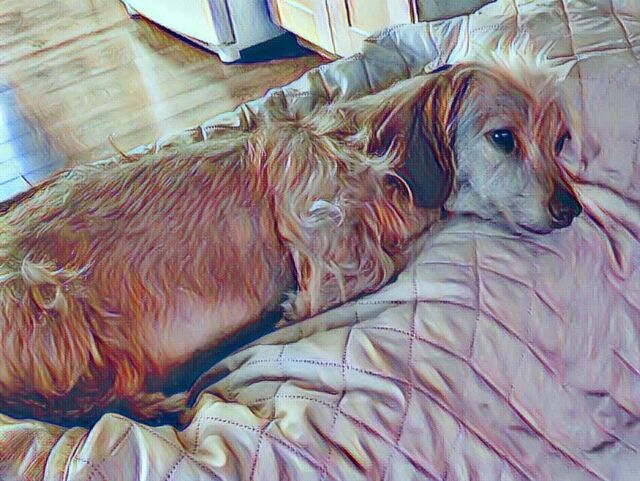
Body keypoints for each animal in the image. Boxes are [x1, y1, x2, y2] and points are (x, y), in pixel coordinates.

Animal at [0, 59, 583, 423]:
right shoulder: (326, 261)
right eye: (503, 138)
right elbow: (369, 269)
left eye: (560, 141)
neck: (373, 157)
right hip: (51, 297)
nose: (572, 209)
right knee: (83, 403)